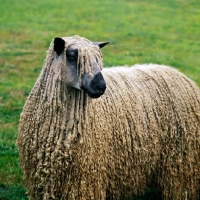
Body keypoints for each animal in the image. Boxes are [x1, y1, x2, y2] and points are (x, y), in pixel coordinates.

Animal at [16, 35, 200, 199]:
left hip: (180, 162)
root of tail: (183, 77)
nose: (101, 86)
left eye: (98, 59)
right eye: (72, 56)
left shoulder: (85, 180)